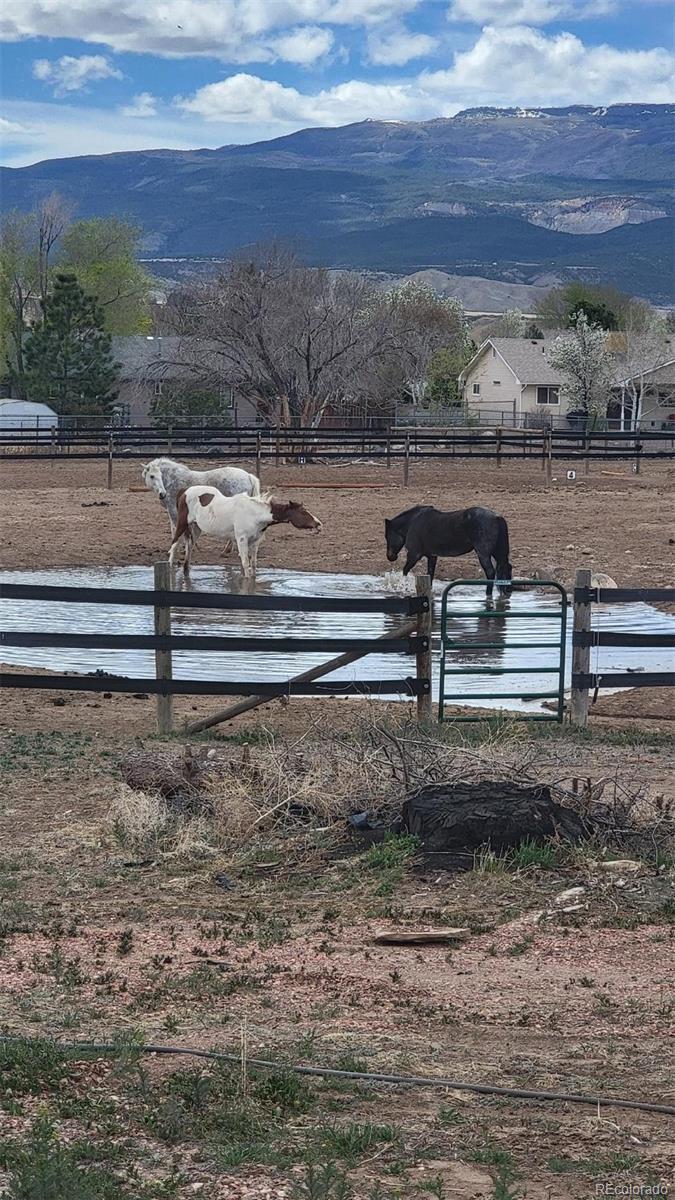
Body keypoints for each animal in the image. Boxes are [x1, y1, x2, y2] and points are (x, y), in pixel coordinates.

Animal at [170, 487, 324, 580]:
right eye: (303, 512)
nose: (319, 524)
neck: (255, 513)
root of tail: (184, 491)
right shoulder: (242, 539)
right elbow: (245, 564)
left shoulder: (254, 542)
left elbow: (253, 564)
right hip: (182, 524)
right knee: (174, 544)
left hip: (196, 529)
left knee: (189, 550)